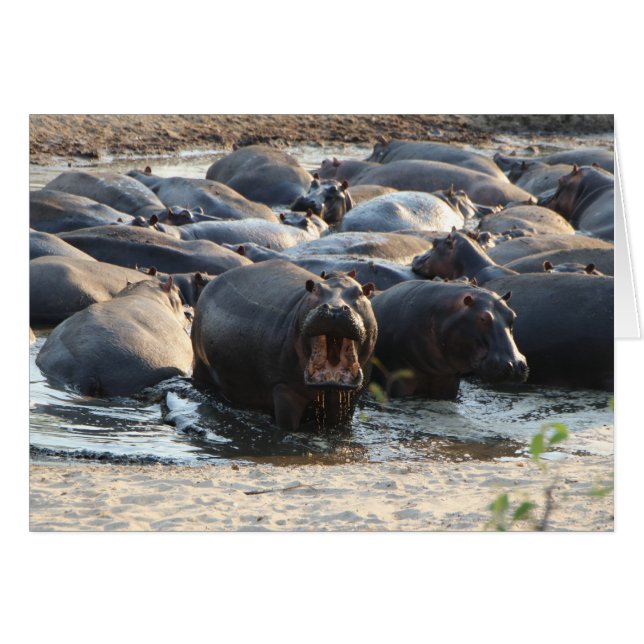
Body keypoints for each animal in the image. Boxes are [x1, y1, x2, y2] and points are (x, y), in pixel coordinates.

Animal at [191, 260, 378, 431]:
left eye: (360, 293)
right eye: (316, 289)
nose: (335, 309)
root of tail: (212, 281)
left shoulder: (351, 398)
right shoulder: (284, 389)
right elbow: (287, 425)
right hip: (200, 366)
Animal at [370, 281, 527, 398]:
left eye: (513, 315)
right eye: (483, 318)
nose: (516, 364)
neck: (443, 313)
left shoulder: (447, 381)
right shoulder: (398, 378)